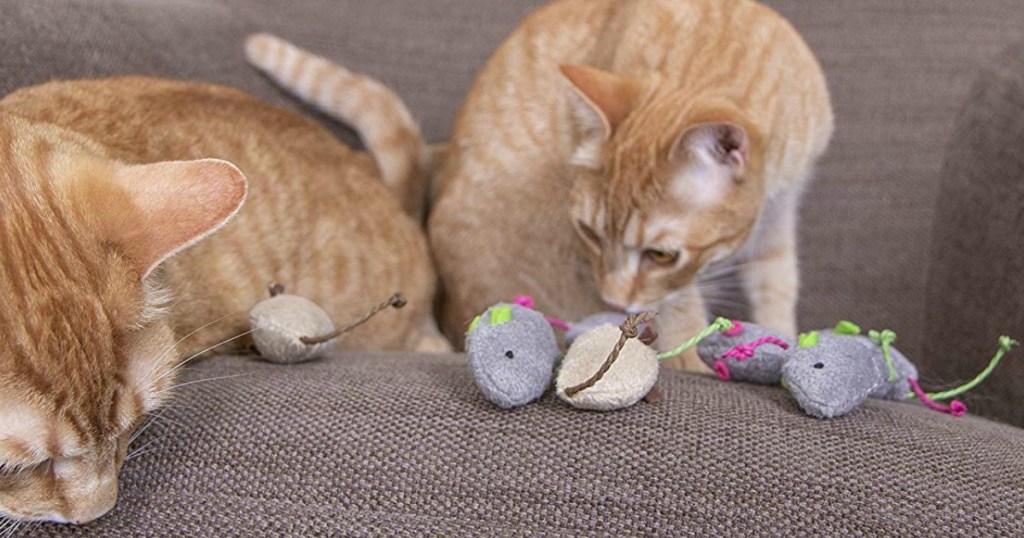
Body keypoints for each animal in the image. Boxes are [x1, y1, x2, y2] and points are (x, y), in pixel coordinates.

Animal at [428, 0, 835, 366]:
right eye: (589, 233)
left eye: (661, 255)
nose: (614, 301)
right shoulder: (674, 292)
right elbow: (683, 316)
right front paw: (699, 366)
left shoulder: (779, 213)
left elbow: (776, 285)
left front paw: (783, 342)